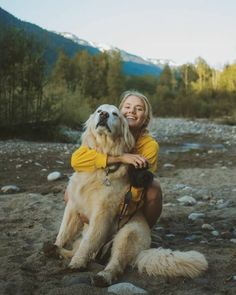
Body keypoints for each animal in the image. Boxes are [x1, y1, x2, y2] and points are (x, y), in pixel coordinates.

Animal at [54, 104, 207, 286]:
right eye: (99, 110)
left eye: (115, 114)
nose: (104, 115)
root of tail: (145, 249)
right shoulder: (73, 204)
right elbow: (63, 231)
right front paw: (57, 245)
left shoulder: (102, 213)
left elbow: (89, 242)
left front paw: (77, 263)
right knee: (82, 250)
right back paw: (54, 250)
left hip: (127, 235)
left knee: (115, 263)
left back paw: (102, 276)